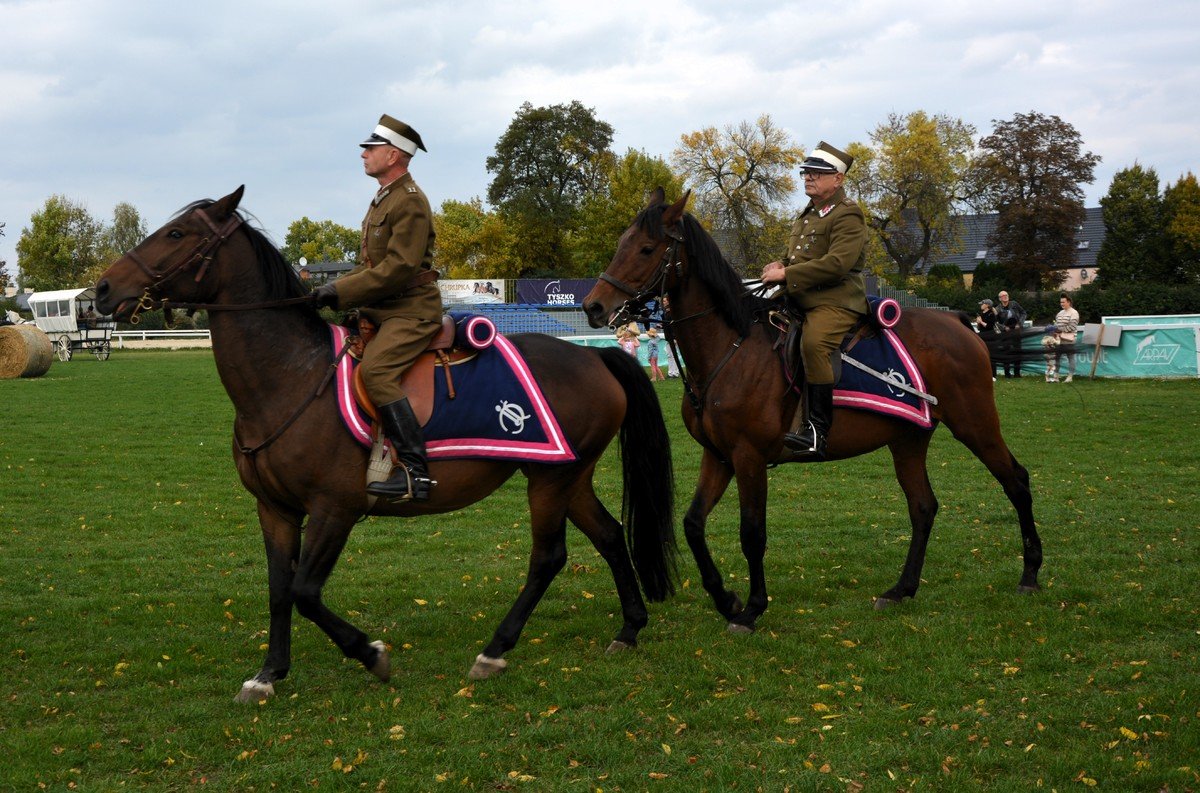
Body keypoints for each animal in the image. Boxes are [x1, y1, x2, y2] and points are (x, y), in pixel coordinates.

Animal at [93, 185, 676, 700]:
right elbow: (279, 590)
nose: (101, 290)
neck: (292, 377)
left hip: (551, 480)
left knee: (549, 557)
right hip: (566, 474)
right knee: (609, 535)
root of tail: (594, 355)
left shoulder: (334, 509)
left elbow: (305, 592)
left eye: (176, 233)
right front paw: (268, 674)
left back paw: (495, 650)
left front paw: (370, 653)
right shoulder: (274, 509)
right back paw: (629, 629)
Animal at [583, 190, 1041, 628]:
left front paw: (751, 610)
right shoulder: (719, 456)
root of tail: (961, 323)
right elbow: (693, 524)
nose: (593, 306)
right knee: (923, 507)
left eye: (646, 249)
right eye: (622, 243)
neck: (731, 348)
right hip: (908, 439)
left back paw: (1030, 574)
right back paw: (901, 590)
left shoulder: (748, 457)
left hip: (974, 424)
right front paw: (726, 599)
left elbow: (752, 533)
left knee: (1016, 481)